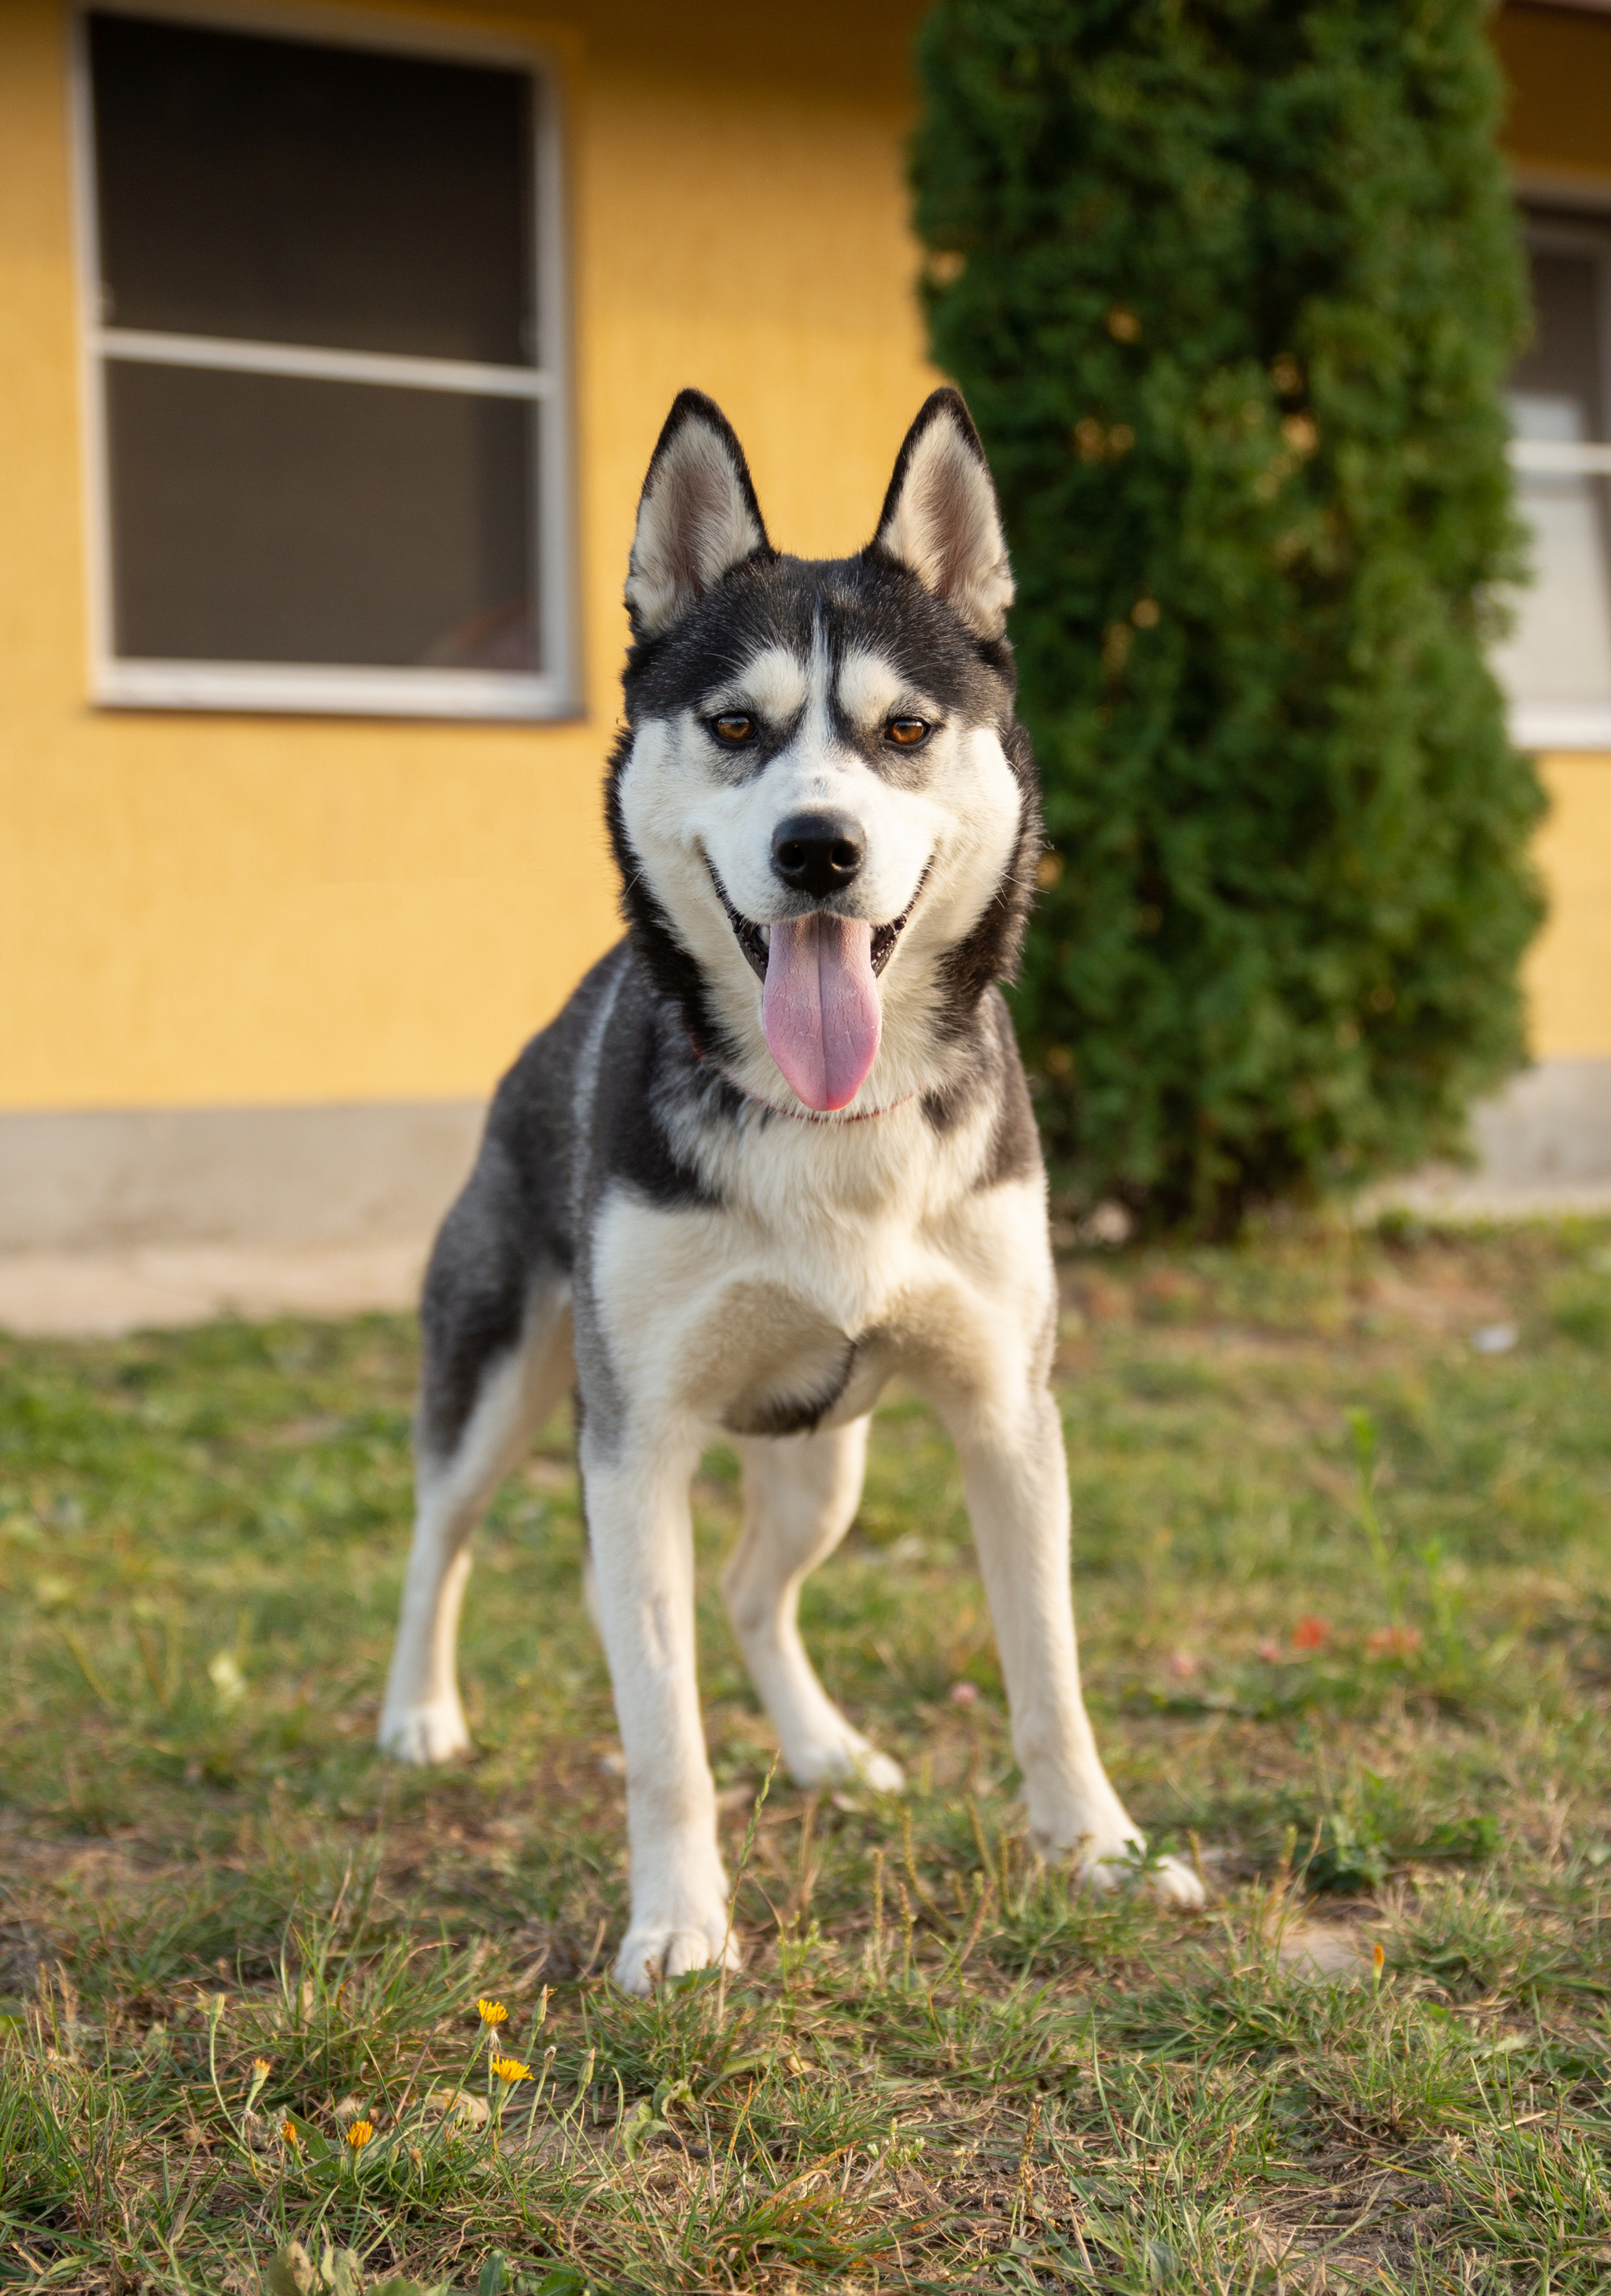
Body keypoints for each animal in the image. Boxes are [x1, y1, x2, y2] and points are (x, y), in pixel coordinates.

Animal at [381, 385, 1202, 1984]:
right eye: (736, 726)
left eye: (903, 729)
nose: (815, 848)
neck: (834, 1126)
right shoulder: (630, 1444)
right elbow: (662, 1734)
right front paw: (679, 1926)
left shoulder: (1008, 1411)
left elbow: (1050, 1667)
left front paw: (1099, 1850)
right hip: (501, 1371)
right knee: (440, 1534)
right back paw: (418, 1713)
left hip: (828, 1455)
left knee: (757, 1584)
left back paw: (823, 1748)